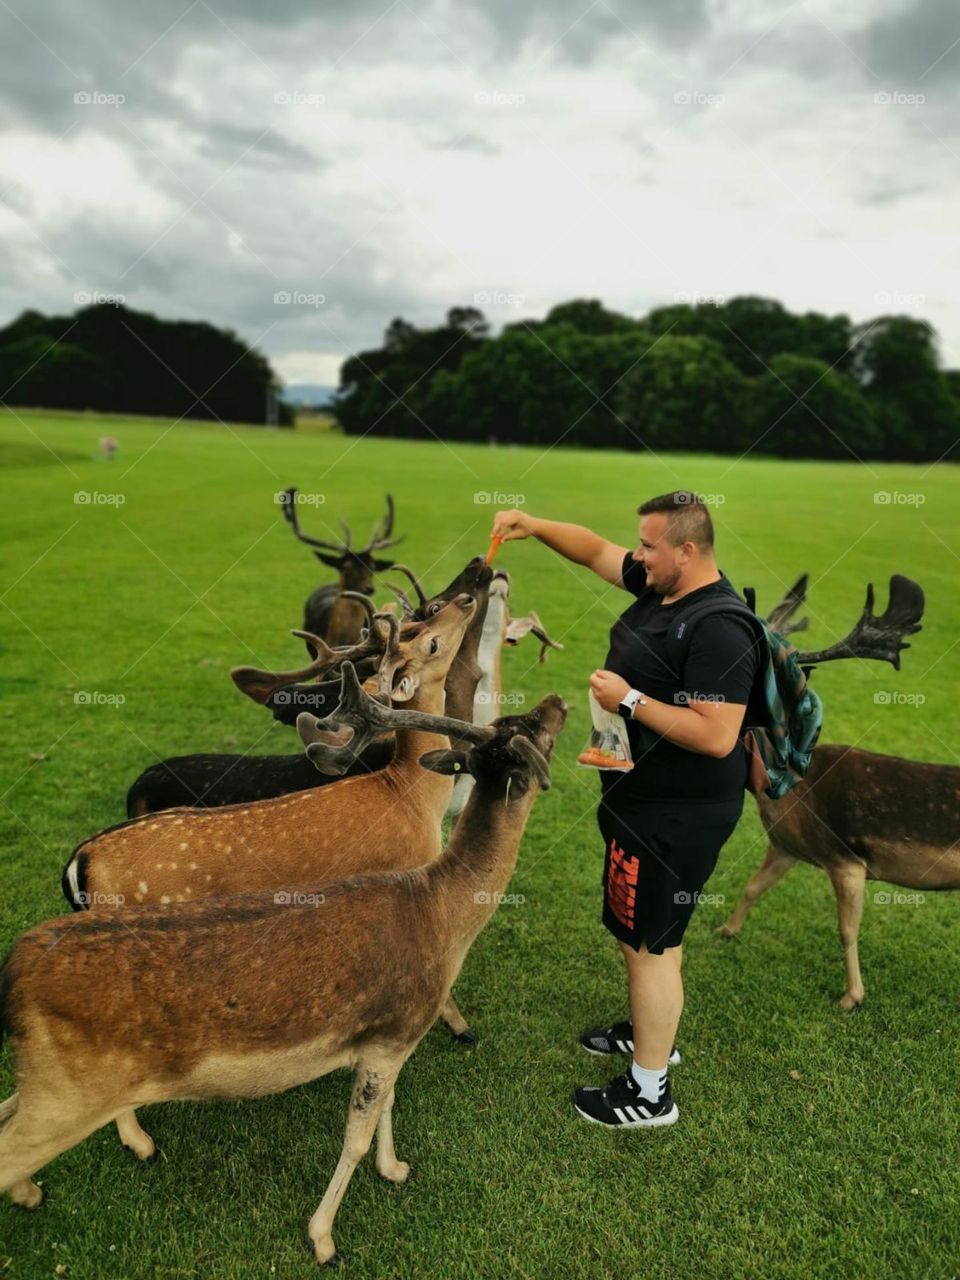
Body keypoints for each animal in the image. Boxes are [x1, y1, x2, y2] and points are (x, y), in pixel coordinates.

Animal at [1, 691, 570, 1259]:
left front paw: (395, 1169)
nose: (557, 700)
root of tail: (14, 969)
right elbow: (356, 1136)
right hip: (71, 1096)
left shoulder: (385, 1038)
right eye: (533, 729)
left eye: (516, 721)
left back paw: (39, 1188)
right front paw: (324, 1238)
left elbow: (387, 1106)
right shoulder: (397, 1033)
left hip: (51, 1085)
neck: (444, 915)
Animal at [716, 573, 936, 1008]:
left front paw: (851, 997)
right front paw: (726, 930)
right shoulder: (787, 847)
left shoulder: (846, 859)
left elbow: (847, 930)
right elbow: (753, 887)